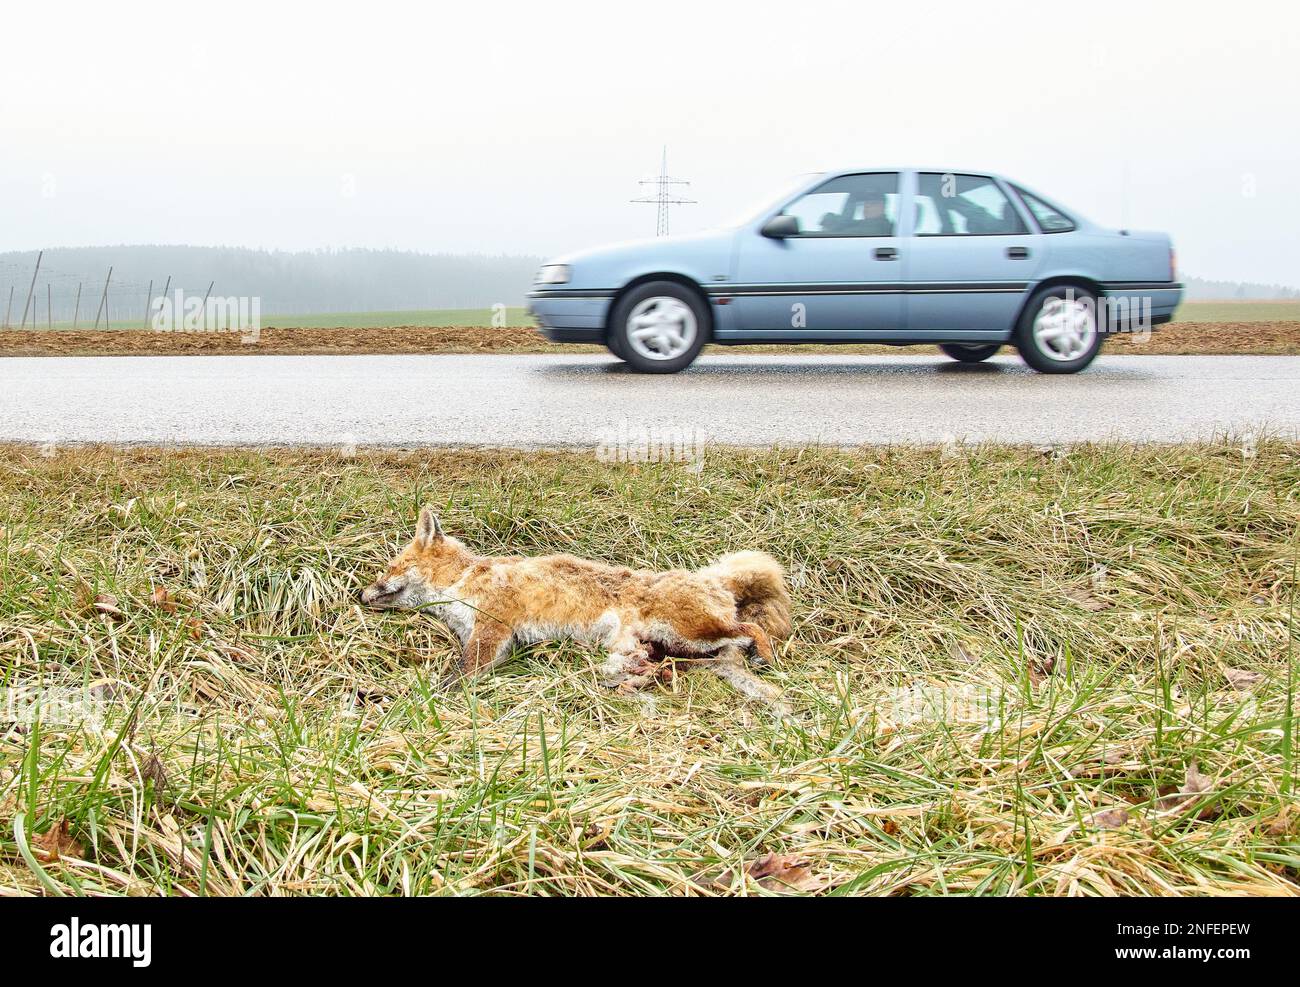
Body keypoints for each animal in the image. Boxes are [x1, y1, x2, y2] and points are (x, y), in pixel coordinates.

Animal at [364, 509, 790, 702]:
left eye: (391, 567)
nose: (361, 595)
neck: (467, 579)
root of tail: (711, 578)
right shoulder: (495, 642)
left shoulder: (493, 628)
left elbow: (458, 675)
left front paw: (425, 697)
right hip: (676, 647)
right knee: (686, 662)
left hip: (692, 633)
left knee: (751, 629)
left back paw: (766, 656)